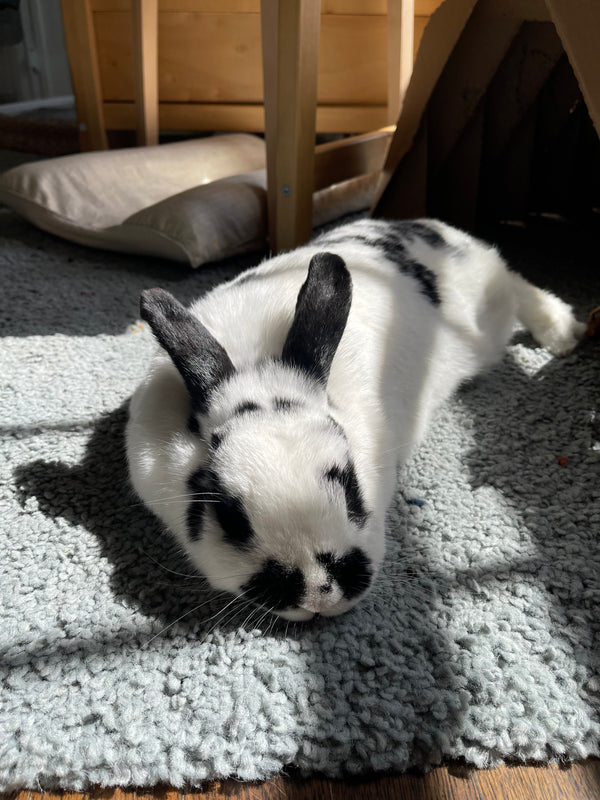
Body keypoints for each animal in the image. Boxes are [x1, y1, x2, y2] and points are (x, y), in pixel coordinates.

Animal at [126, 218, 586, 622]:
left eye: (351, 489)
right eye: (229, 517)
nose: (319, 593)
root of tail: (438, 229)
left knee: (519, 286)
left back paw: (564, 335)